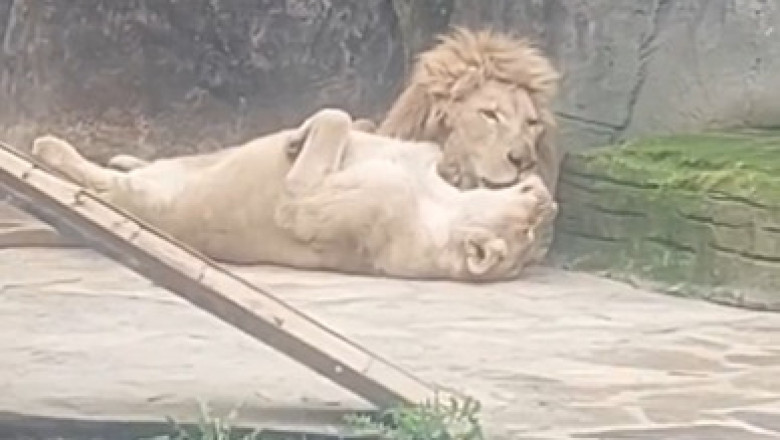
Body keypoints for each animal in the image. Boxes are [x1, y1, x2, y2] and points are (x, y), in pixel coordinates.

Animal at [32, 108, 556, 282]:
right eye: (535, 219)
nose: (544, 194)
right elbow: (352, 122)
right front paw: (298, 135)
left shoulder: (333, 207)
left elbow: (330, 132)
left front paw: (297, 140)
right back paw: (124, 156)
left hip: (157, 199)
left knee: (105, 183)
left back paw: (50, 148)